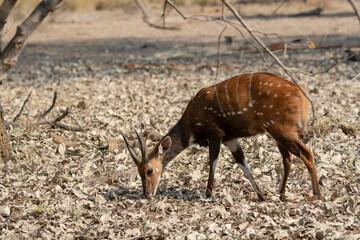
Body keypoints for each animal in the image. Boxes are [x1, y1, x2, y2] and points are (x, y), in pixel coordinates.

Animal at [122, 72, 322, 201]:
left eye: (149, 170)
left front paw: (208, 193)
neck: (191, 124)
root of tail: (302, 96)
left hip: (282, 130)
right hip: (277, 133)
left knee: (306, 154)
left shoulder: (215, 133)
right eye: (139, 172)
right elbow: (243, 163)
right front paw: (261, 195)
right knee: (288, 158)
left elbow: (213, 161)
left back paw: (317, 194)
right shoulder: (230, 138)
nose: (147, 194)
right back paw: (281, 195)